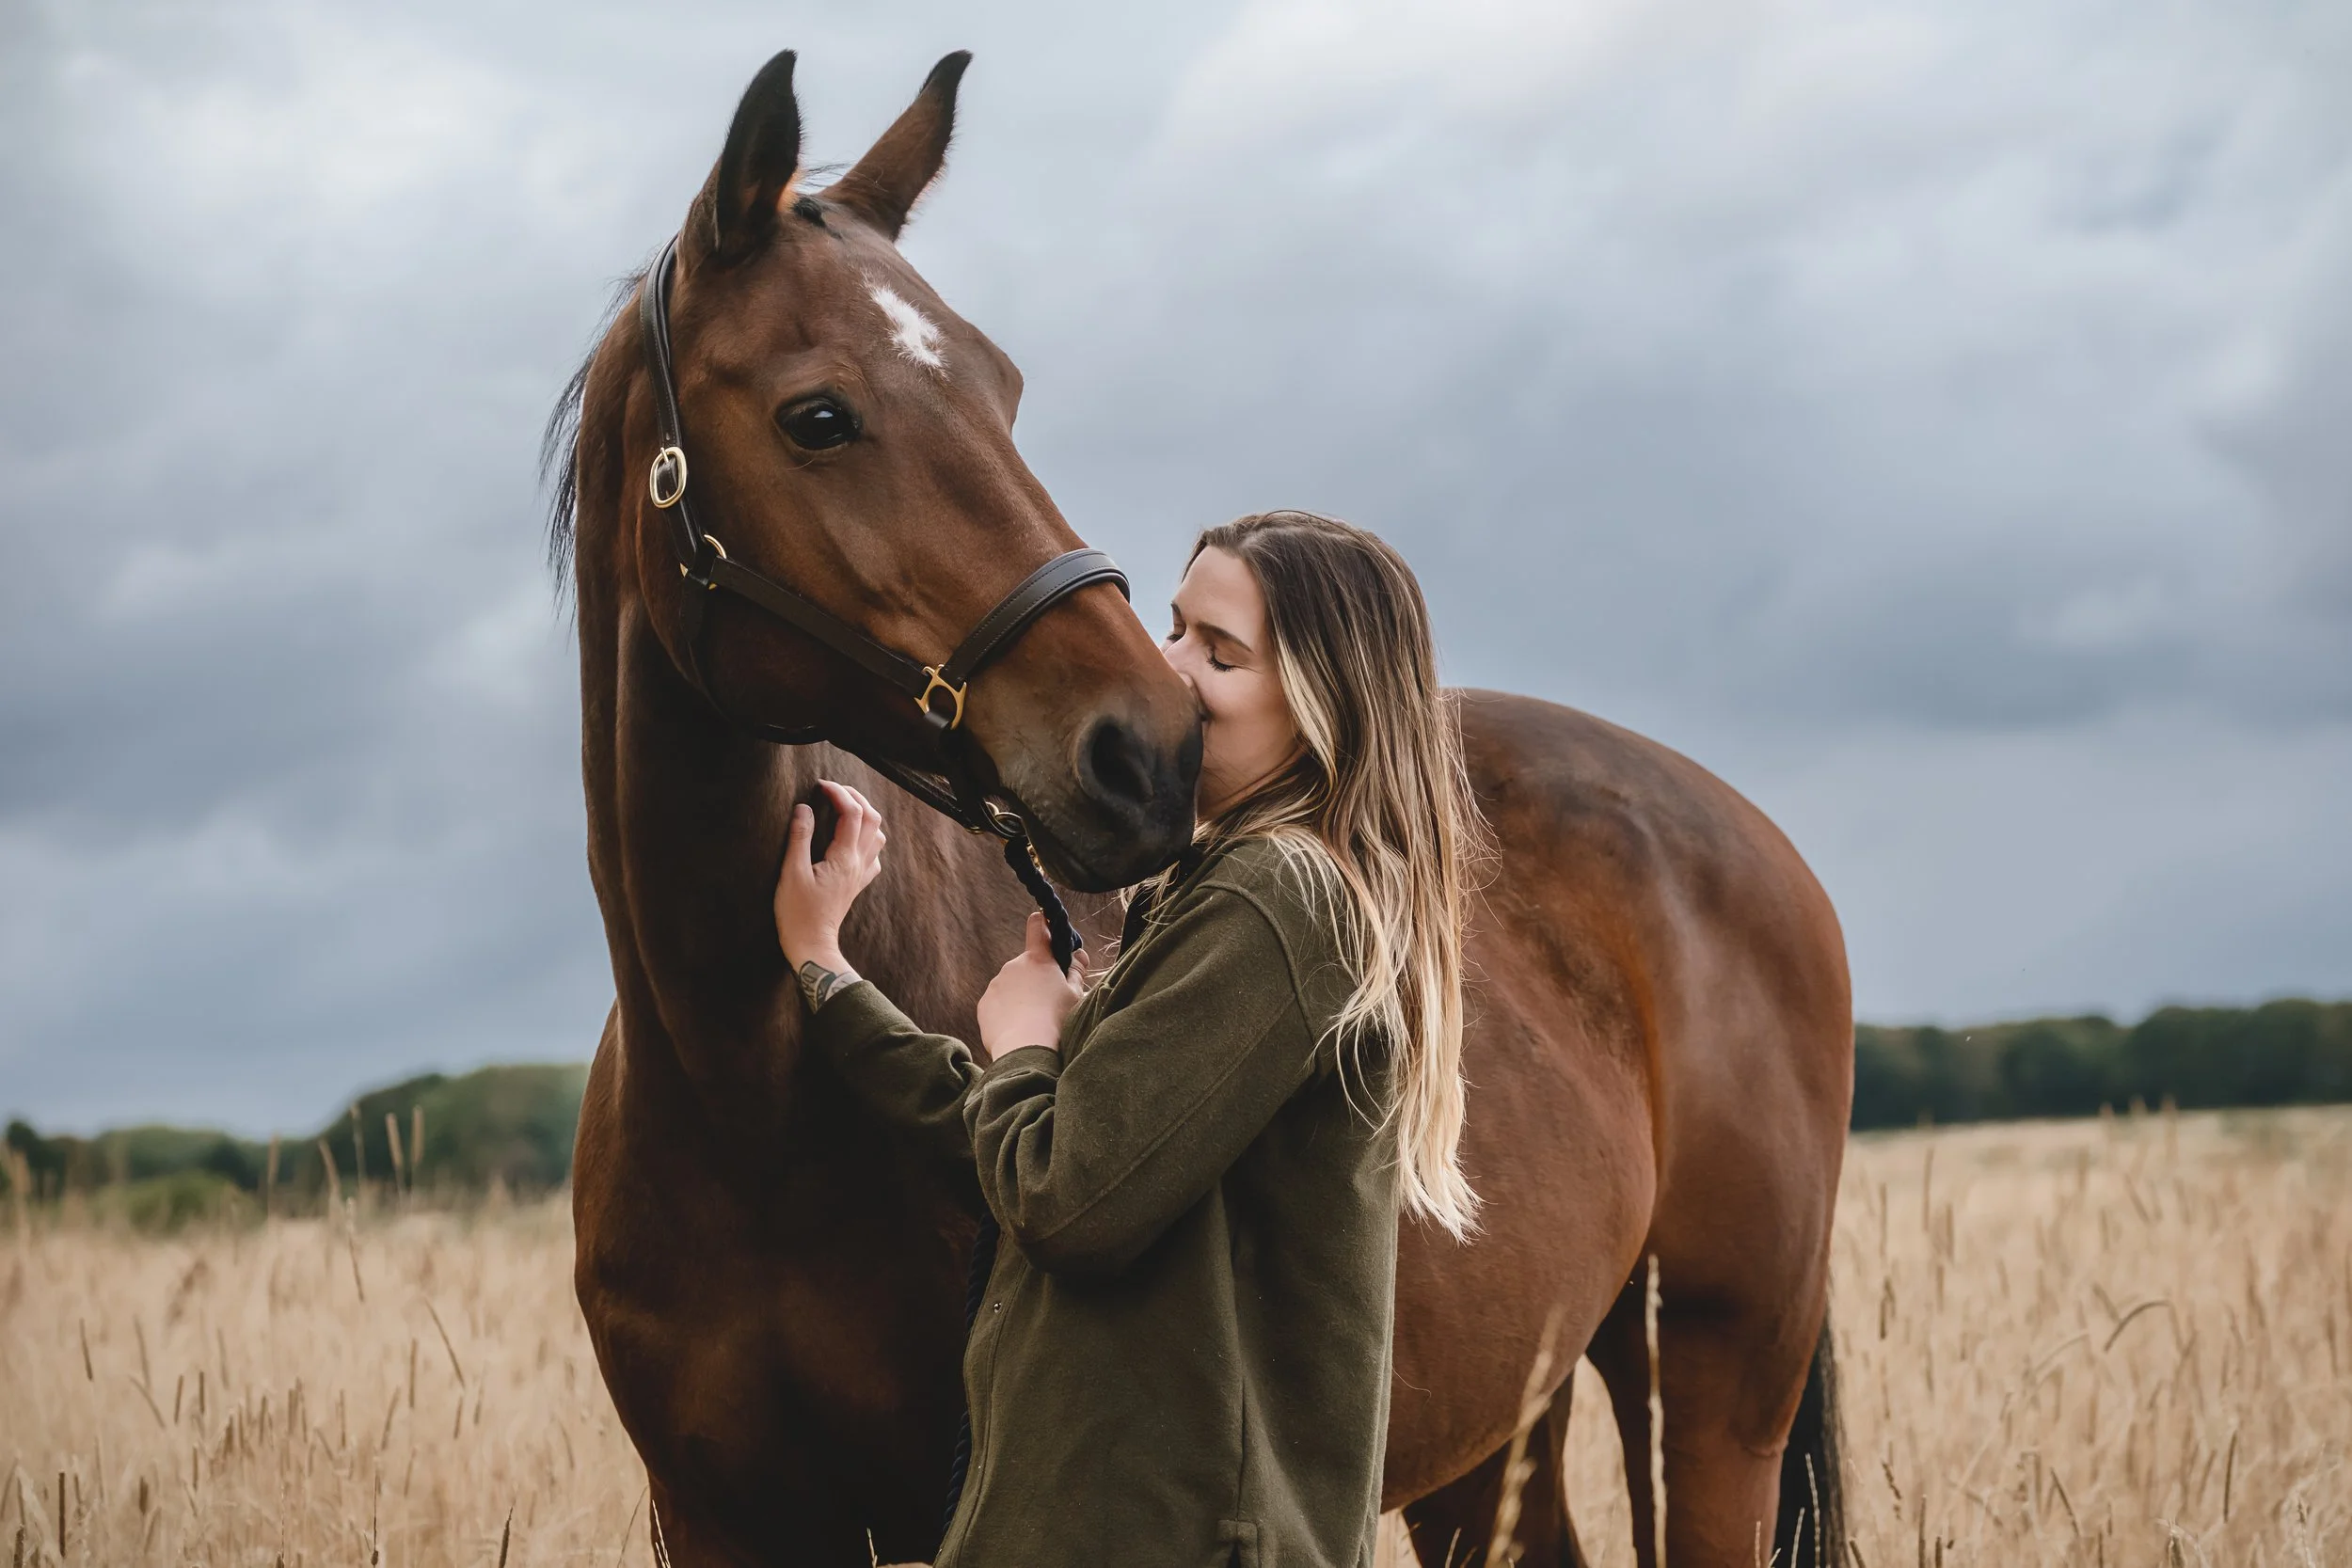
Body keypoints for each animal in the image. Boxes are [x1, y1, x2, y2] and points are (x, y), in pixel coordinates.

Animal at [551, 49, 1854, 1568]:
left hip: (1710, 1395)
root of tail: (1759, 846)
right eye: (818, 415)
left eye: (1003, 388)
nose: (1149, 750)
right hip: (1496, 1430)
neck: (741, 1094)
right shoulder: (716, 1517)